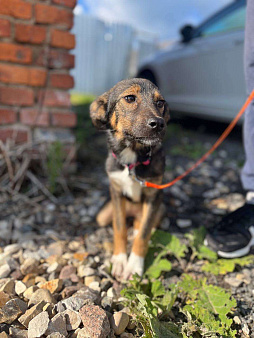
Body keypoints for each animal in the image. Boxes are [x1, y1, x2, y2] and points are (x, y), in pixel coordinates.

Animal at [90, 78, 170, 280]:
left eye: (160, 102)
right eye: (129, 98)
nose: (159, 124)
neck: (132, 159)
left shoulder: (153, 195)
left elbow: (144, 234)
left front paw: (134, 265)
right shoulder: (116, 192)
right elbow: (119, 228)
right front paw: (119, 260)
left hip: (159, 206)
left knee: (143, 224)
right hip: (103, 215)